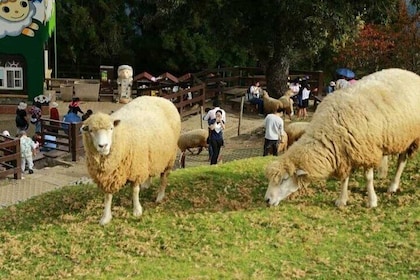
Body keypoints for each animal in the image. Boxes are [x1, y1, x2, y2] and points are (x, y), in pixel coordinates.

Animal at [81, 96, 180, 225]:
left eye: (111, 128)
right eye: (91, 131)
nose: (103, 146)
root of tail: (160, 98)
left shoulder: (136, 168)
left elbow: (135, 191)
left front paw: (137, 210)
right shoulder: (110, 175)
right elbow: (108, 197)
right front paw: (105, 217)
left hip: (169, 156)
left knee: (164, 177)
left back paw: (160, 196)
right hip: (149, 157)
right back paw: (147, 184)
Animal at [266, 68, 420, 208]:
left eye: (284, 179)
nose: (267, 200)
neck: (329, 129)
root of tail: (412, 74)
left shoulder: (367, 150)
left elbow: (368, 178)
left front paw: (372, 201)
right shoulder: (343, 152)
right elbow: (344, 178)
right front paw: (341, 200)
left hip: (413, 137)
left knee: (401, 161)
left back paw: (393, 186)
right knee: (402, 160)